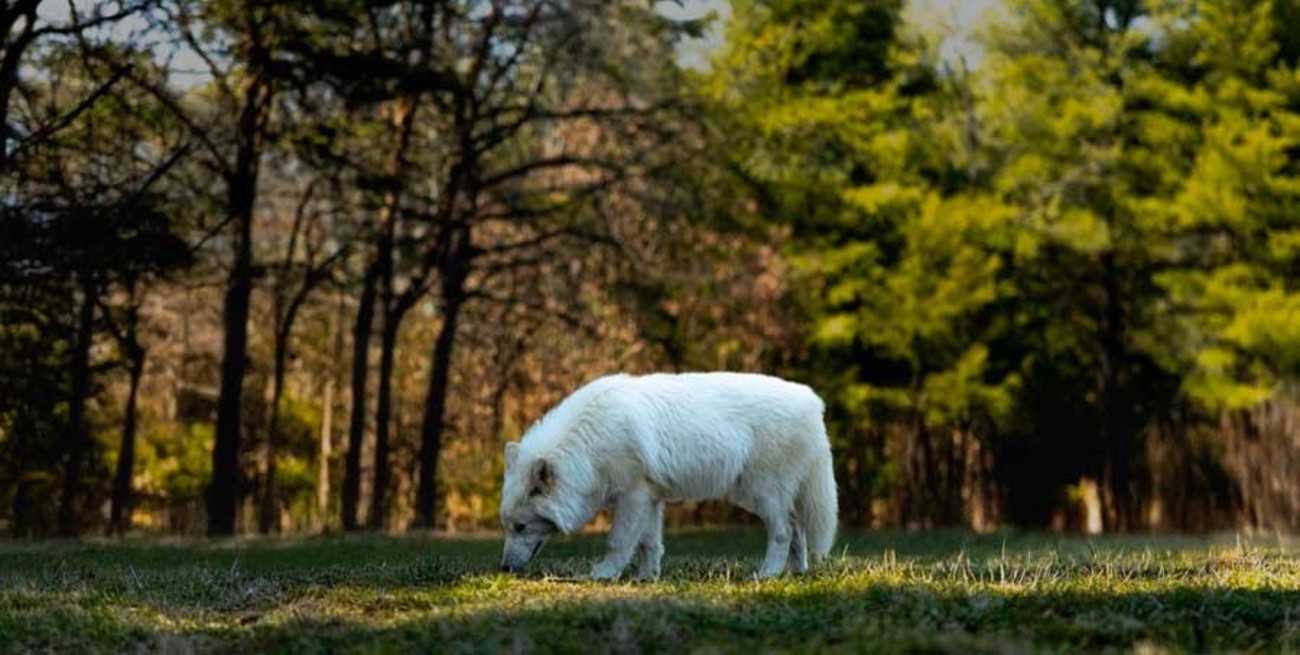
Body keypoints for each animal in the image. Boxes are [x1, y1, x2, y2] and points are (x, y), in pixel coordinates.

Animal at [499, 372, 837, 580]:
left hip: (761, 495)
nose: (503, 569)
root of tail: (812, 401)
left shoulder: (633, 496)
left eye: (521, 527)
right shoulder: (650, 498)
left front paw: (603, 575)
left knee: (784, 531)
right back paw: (796, 572)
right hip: (758, 496)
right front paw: (646, 578)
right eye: (507, 527)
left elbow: (618, 542)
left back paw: (768, 573)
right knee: (797, 528)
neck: (589, 444)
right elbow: (650, 544)